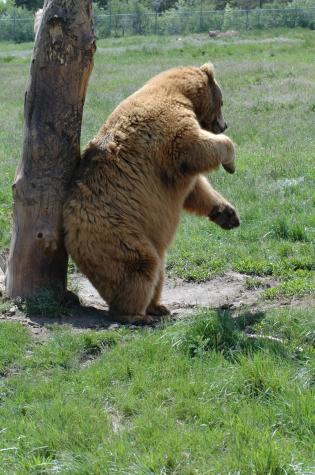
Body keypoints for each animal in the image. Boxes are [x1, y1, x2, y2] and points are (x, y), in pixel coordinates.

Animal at [63, 63, 241, 324]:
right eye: (222, 101)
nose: (224, 125)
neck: (180, 93)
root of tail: (68, 231)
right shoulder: (167, 126)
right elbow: (193, 146)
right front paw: (229, 161)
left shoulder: (170, 174)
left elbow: (195, 190)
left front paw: (228, 214)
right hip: (115, 230)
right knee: (138, 266)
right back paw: (136, 314)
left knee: (158, 269)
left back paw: (158, 306)